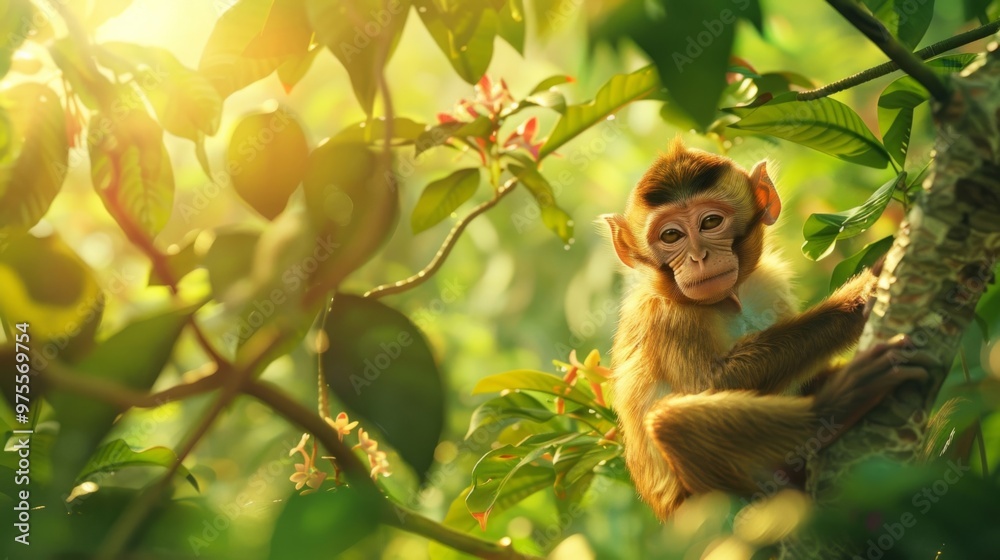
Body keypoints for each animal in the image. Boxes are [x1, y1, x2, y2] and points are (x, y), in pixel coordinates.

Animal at [602, 138, 928, 520]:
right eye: (671, 235)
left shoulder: (769, 282)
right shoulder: (662, 315)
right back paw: (835, 406)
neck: (729, 300)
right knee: (670, 421)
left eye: (710, 222)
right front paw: (861, 296)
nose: (698, 257)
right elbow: (706, 383)